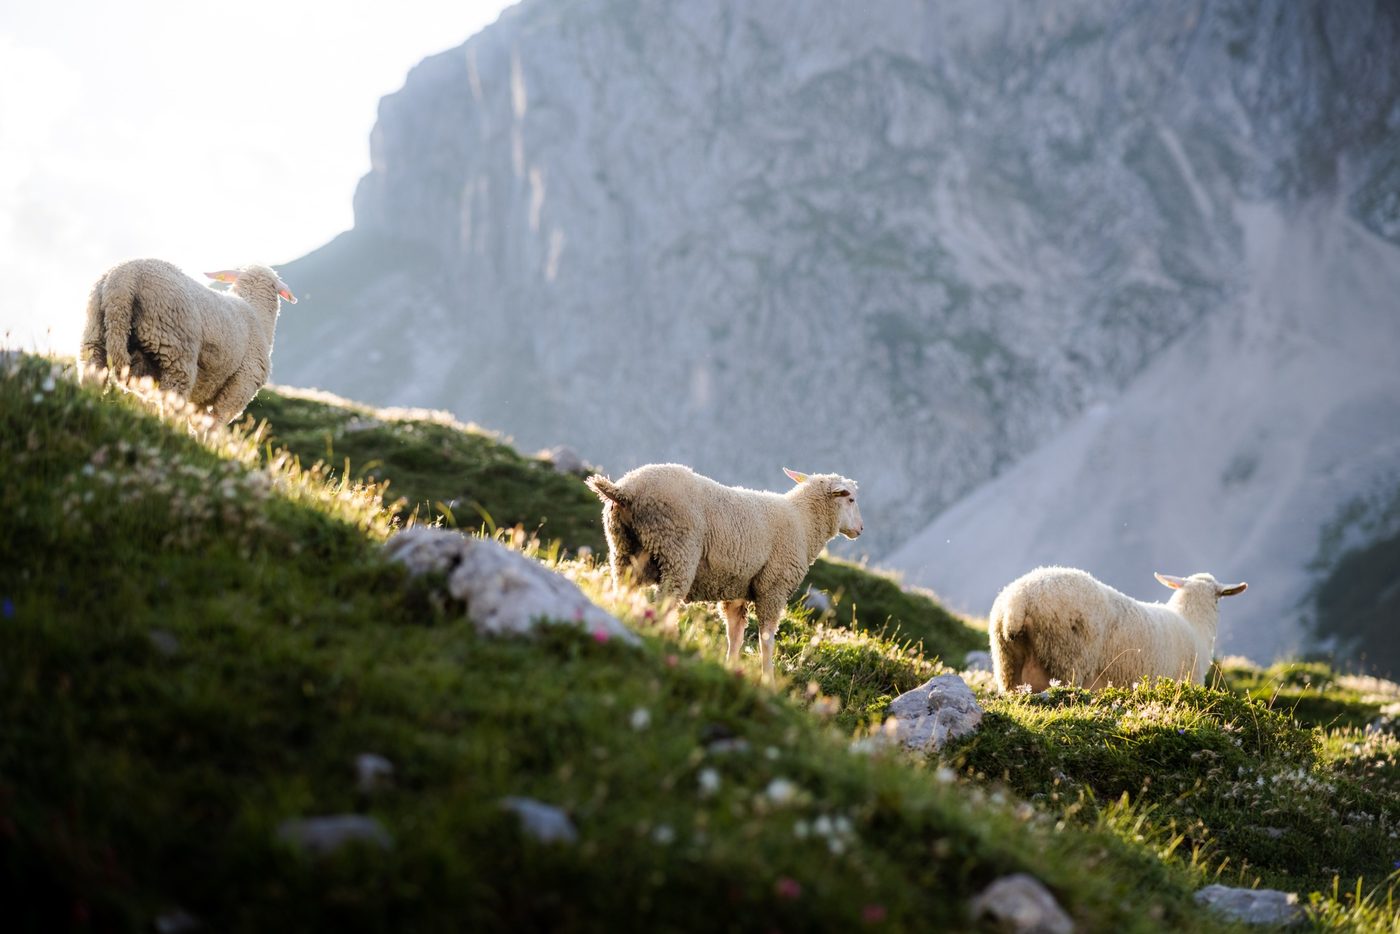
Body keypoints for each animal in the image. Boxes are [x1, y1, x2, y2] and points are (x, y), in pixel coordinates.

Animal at [80, 259, 296, 424]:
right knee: (171, 400)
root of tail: (124, 278)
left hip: (94, 337)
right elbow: (214, 425)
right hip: (175, 348)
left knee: (93, 377)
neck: (256, 313)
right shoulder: (241, 386)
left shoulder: (203, 395)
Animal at [585, 464, 863, 681]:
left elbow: (735, 635)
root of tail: (627, 490)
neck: (804, 524)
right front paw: (768, 680)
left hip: (624, 551)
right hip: (677, 551)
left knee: (623, 592)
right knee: (664, 603)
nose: (860, 529)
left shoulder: (737, 589)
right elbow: (766, 640)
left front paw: (731, 666)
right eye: (850, 499)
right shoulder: (773, 588)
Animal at [988, 567, 1247, 693]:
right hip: (1066, 657)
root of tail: (1018, 602)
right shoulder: (1189, 680)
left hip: (1006, 662)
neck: (1193, 622)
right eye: (1218, 600)